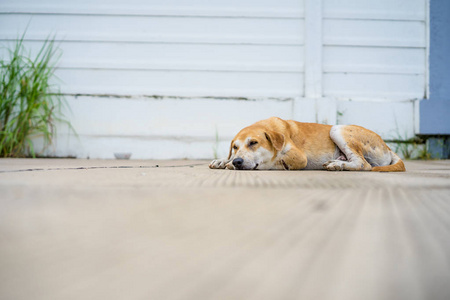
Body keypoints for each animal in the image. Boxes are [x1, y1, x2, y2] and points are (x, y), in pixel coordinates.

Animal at [209, 116, 406, 171]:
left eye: (253, 143)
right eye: (235, 147)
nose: (237, 161)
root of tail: (387, 146)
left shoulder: (299, 158)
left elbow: (271, 162)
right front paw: (223, 160)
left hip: (338, 129)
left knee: (363, 164)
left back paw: (339, 165)